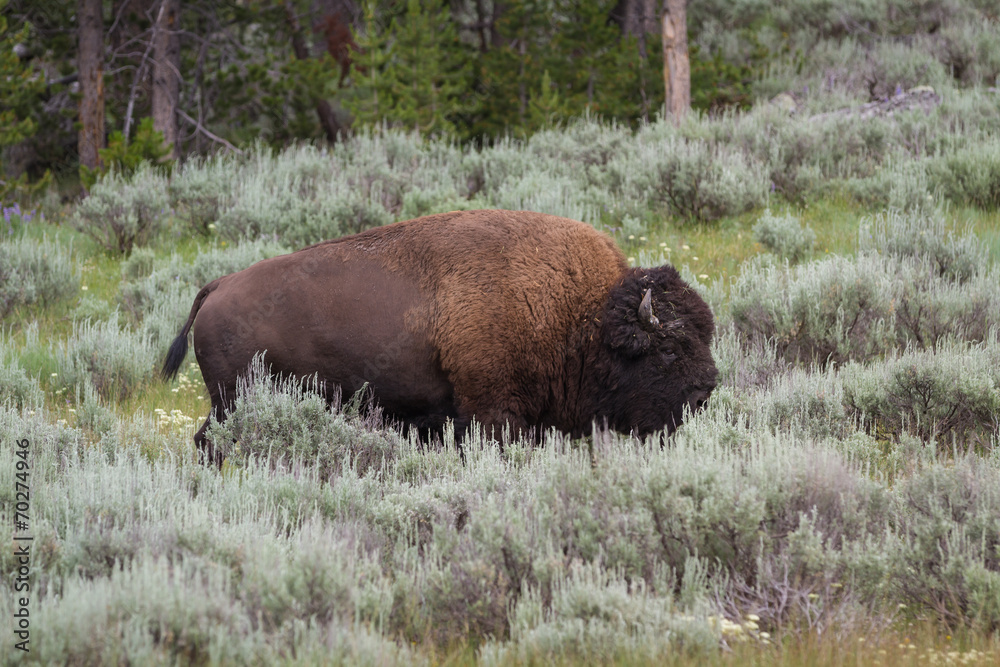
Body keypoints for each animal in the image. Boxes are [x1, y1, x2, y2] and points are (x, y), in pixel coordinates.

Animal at [160, 211, 716, 462]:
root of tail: (218, 286)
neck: (584, 316)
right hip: (235, 399)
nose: (706, 389)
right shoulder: (493, 411)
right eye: (669, 348)